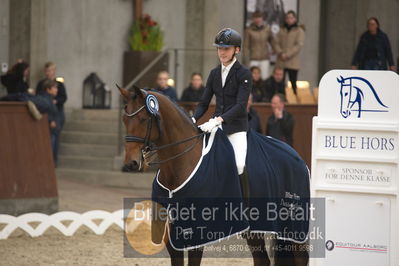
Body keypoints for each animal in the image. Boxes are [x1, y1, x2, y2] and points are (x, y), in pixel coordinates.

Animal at [119, 86, 310, 264]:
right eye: (124, 119)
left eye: (143, 119)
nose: (131, 163)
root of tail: (296, 156)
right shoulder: (170, 235)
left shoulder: (196, 234)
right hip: (256, 230)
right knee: (261, 259)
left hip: (295, 229)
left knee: (301, 257)